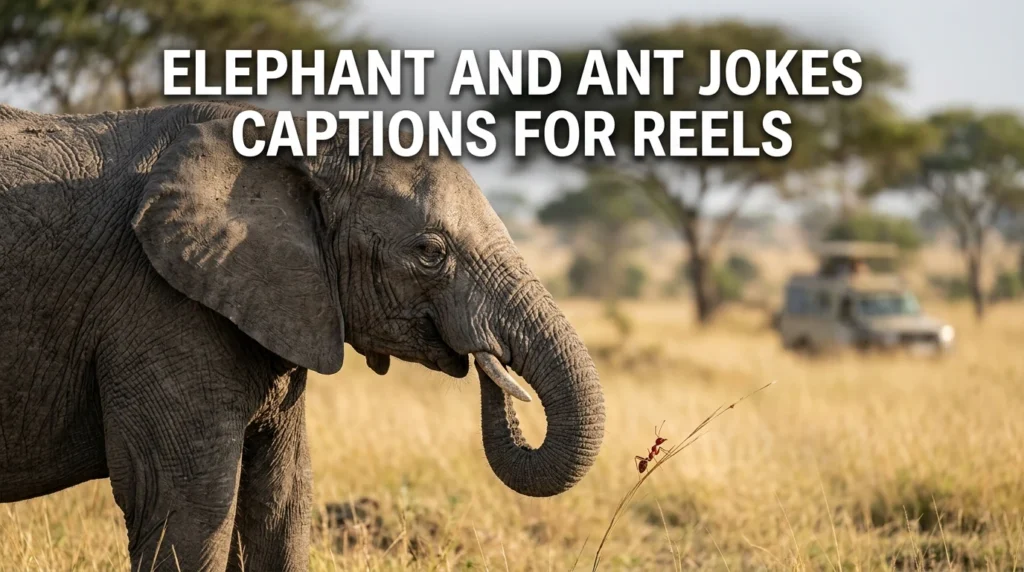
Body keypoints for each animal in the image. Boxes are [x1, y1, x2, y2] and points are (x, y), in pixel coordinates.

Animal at [0, 102, 605, 571]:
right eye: (430, 252)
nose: (490, 359)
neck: (302, 142)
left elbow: (284, 502)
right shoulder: (154, 303)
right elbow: (186, 505)